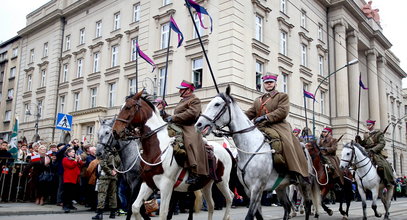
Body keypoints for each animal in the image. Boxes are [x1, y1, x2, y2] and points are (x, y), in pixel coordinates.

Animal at [111, 91, 234, 220]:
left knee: (230, 197)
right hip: (206, 184)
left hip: (222, 181)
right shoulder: (147, 183)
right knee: (211, 205)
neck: (157, 148)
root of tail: (225, 150)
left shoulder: (166, 185)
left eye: (128, 107)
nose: (115, 131)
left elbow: (163, 213)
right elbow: (135, 207)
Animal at [195, 86, 318, 220]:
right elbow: (258, 216)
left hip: (303, 183)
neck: (250, 147)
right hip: (281, 187)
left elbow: (249, 216)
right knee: (287, 206)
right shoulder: (249, 190)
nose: (199, 124)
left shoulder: (257, 188)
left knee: (307, 204)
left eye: (217, 104)